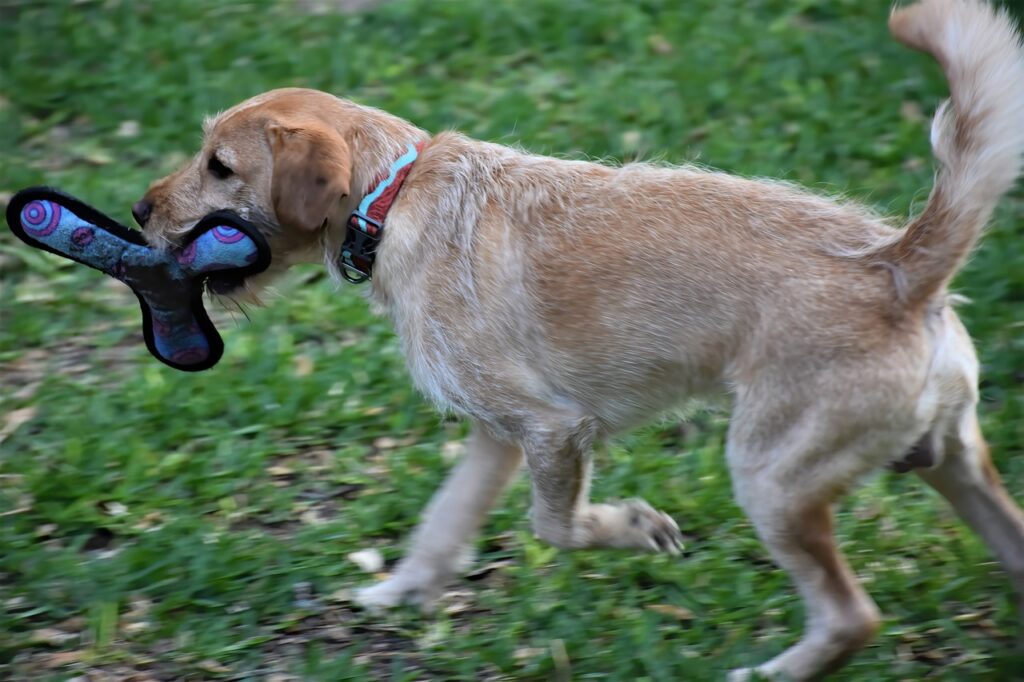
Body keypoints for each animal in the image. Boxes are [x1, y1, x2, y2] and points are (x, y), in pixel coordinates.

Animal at [132, 2, 1024, 675]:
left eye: (219, 166)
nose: (138, 210)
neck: (395, 195)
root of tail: (897, 265)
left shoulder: (554, 430)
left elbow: (553, 528)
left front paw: (633, 529)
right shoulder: (497, 435)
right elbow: (441, 527)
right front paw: (397, 593)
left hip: (772, 479)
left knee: (851, 617)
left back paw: (773, 670)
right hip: (950, 464)